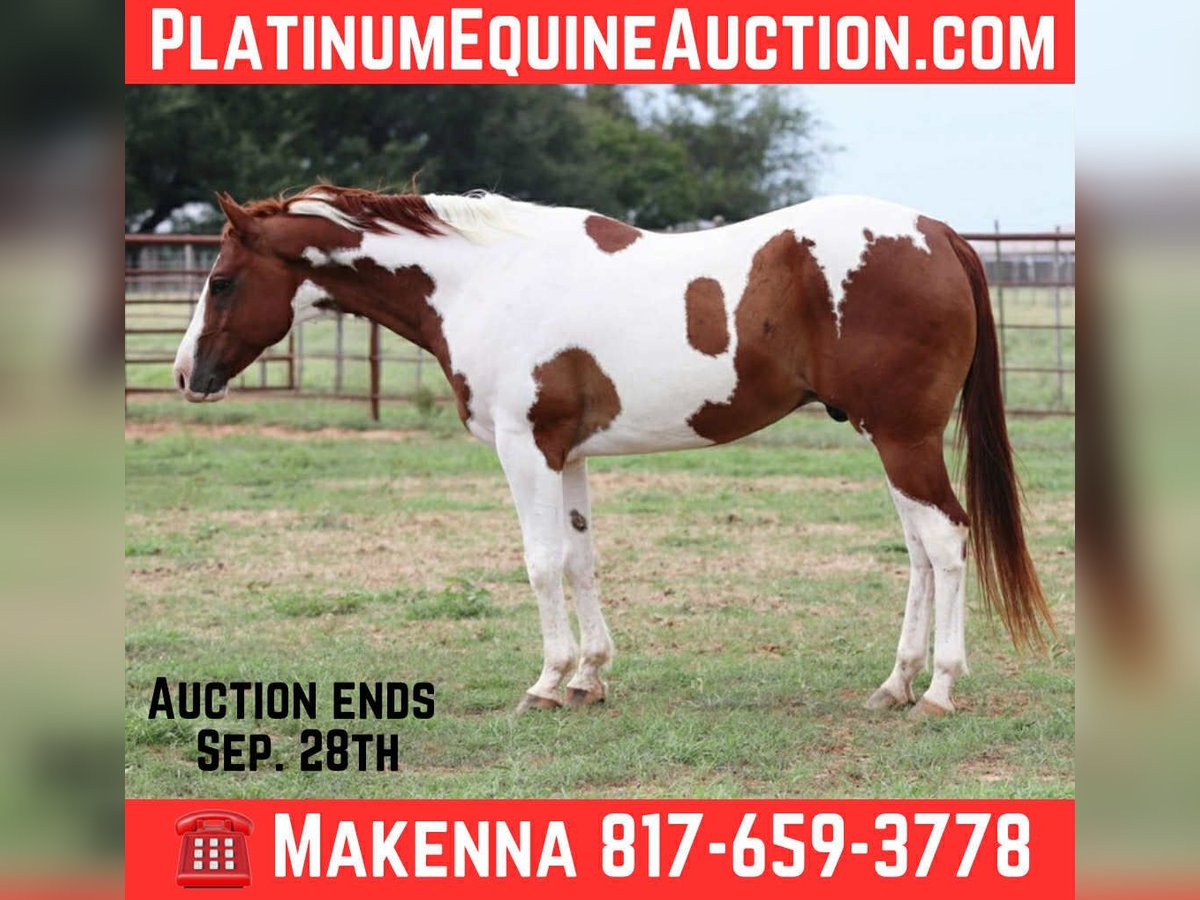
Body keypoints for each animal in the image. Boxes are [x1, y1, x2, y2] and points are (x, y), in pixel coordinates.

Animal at [173, 184, 1053, 717]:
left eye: (220, 279)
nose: (187, 373)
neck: (486, 281)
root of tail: (939, 234)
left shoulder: (525, 449)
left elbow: (539, 564)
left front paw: (546, 682)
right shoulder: (569, 456)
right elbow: (579, 558)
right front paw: (590, 675)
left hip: (903, 438)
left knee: (946, 542)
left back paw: (938, 689)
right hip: (886, 436)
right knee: (919, 551)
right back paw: (895, 684)